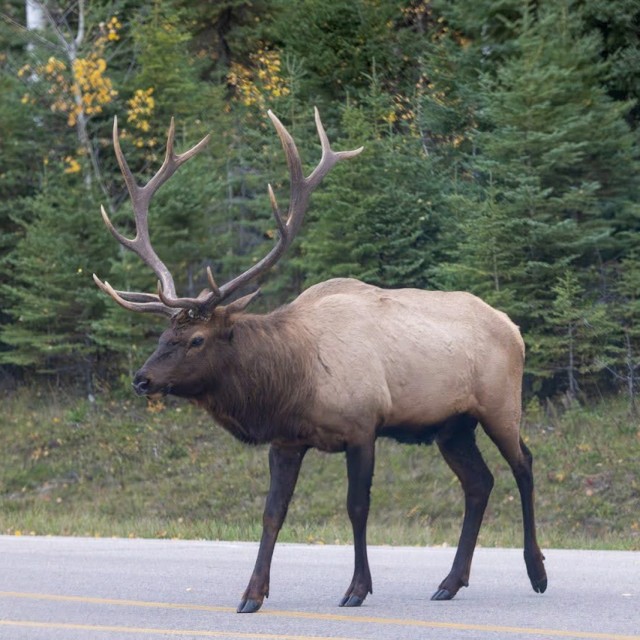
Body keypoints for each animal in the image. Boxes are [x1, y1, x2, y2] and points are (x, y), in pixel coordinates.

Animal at [93, 108, 548, 613]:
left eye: (195, 339)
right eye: (162, 334)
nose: (143, 379)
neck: (294, 380)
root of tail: (514, 328)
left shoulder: (363, 426)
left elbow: (357, 507)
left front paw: (357, 588)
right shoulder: (287, 440)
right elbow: (272, 513)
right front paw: (252, 594)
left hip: (500, 404)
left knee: (524, 466)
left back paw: (536, 572)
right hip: (451, 426)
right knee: (479, 483)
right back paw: (450, 581)